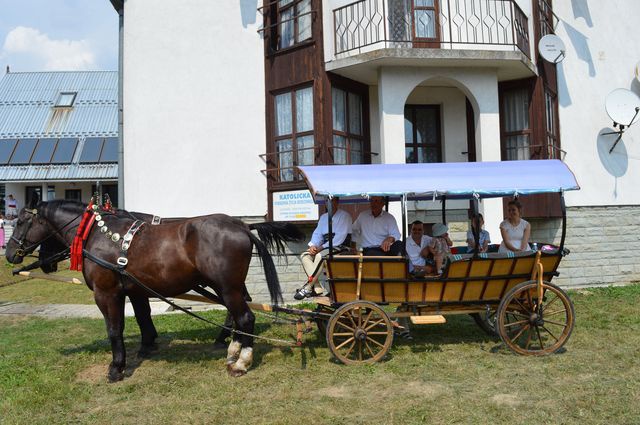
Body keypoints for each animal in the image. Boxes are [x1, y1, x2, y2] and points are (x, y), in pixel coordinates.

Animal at [6, 200, 304, 380]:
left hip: (227, 286)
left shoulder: (107, 293)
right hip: (227, 287)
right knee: (239, 313)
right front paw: (147, 345)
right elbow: (142, 317)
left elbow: (115, 329)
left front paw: (117, 367)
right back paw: (232, 349)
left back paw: (241, 361)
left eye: (20, 222)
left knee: (245, 317)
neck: (97, 234)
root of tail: (241, 225)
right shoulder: (135, 289)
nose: (9, 254)